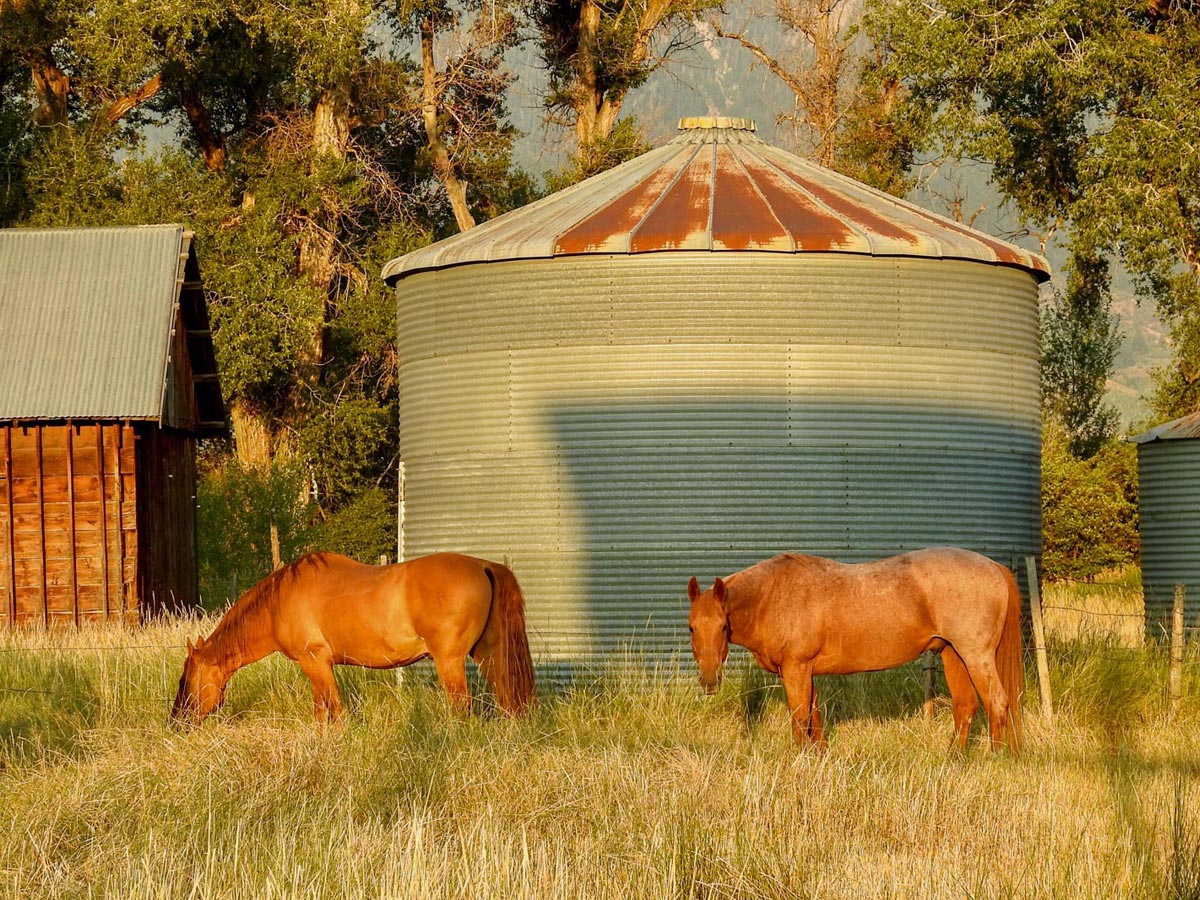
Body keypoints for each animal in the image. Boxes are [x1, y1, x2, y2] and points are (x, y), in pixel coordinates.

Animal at [171, 549, 537, 724]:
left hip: (450, 661)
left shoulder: (314, 662)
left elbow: (332, 712)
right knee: (507, 698)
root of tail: (484, 565)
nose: (177, 722)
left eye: (184, 680)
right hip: (490, 655)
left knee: (462, 707)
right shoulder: (319, 667)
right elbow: (324, 712)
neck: (278, 602)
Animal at [686, 549, 1022, 753]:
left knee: (996, 702)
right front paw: (818, 756)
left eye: (723, 627)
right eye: (691, 628)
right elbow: (814, 715)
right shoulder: (805, 671)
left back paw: (993, 756)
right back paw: (953, 759)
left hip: (975, 655)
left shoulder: (796, 669)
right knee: (965, 706)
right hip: (953, 654)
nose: (709, 680)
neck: (773, 594)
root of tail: (993, 567)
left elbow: (799, 718)